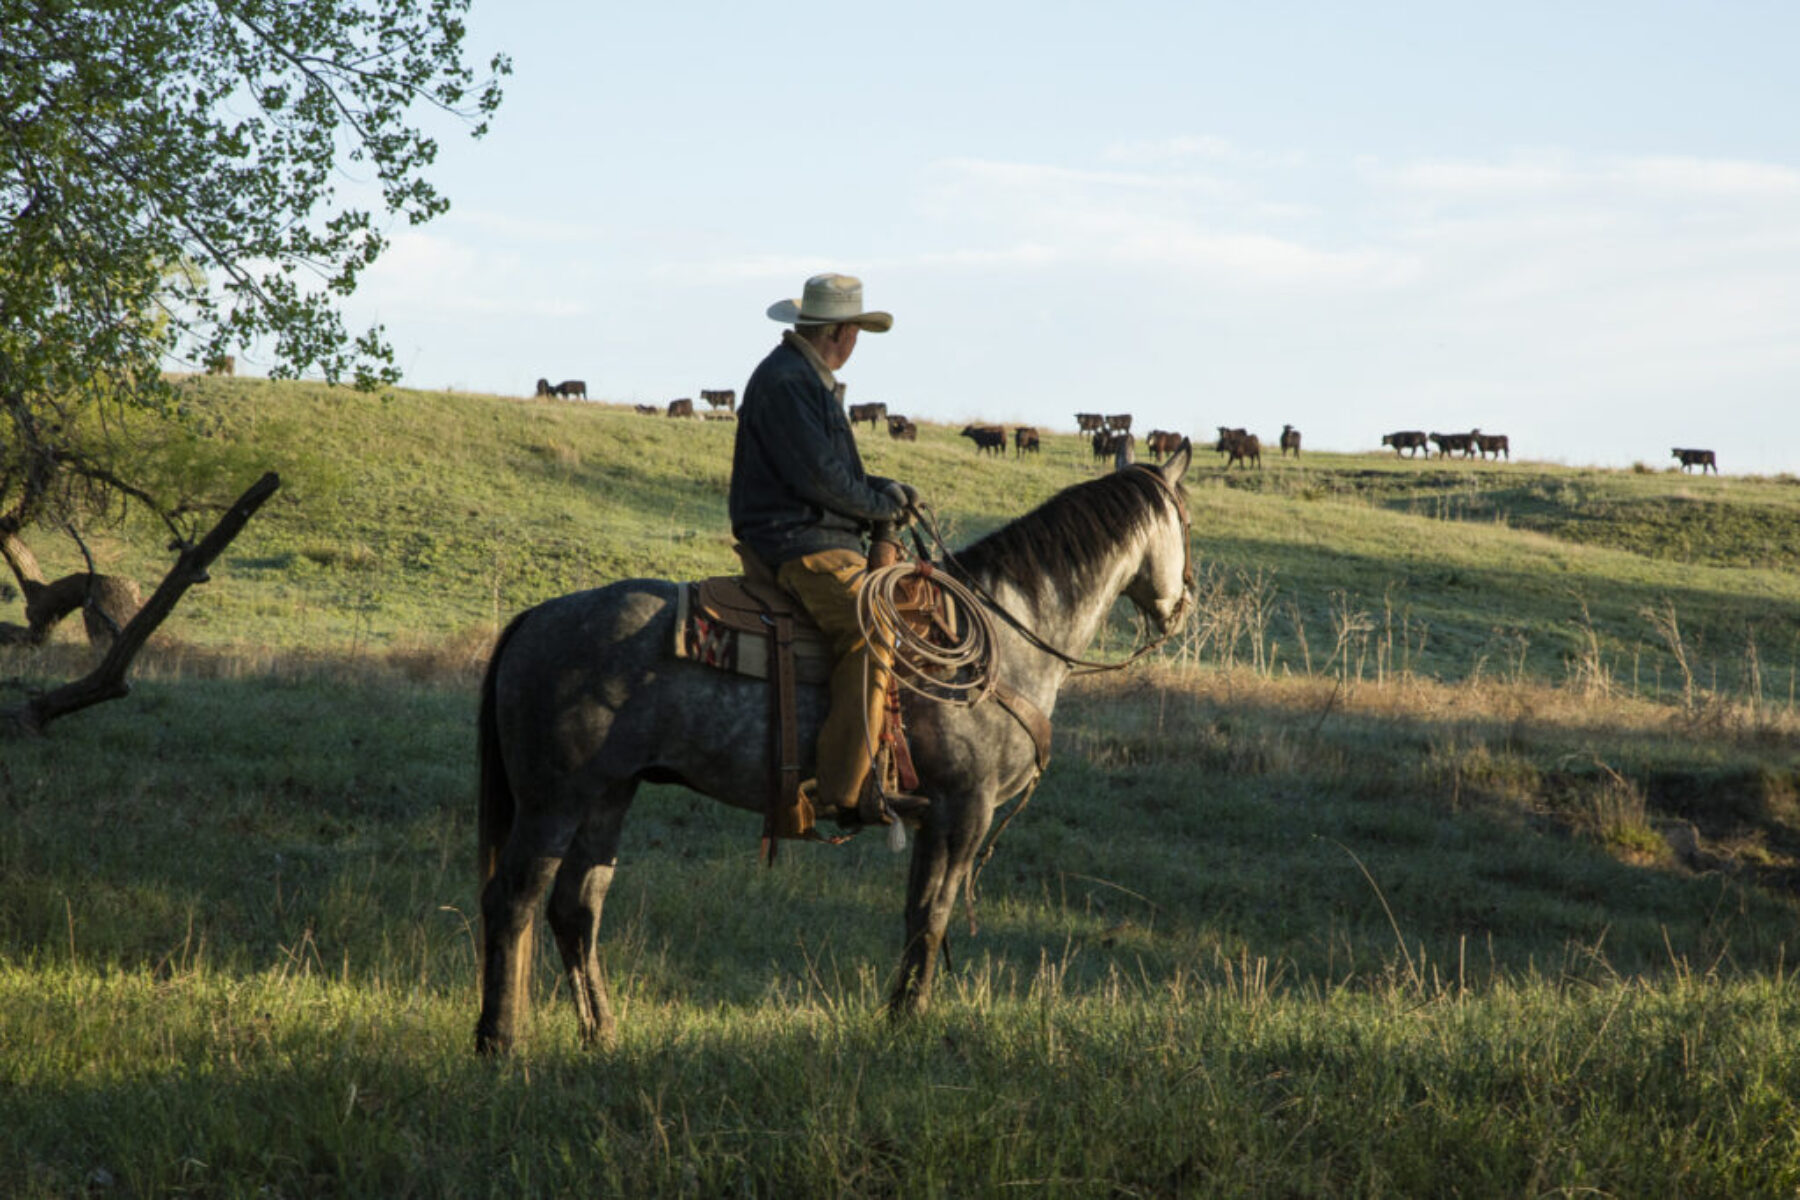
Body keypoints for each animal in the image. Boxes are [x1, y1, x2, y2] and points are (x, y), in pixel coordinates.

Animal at [478, 440, 1195, 1050]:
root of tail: (533, 618)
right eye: (1186, 519)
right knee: (513, 900)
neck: (1005, 635)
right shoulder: (965, 808)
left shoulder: (934, 815)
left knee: (576, 908)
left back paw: (601, 1035)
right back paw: (500, 1040)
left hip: (609, 795)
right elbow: (934, 913)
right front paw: (910, 1022)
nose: (1181, 606)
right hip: (553, 802)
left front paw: (898, 1014)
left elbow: (916, 912)